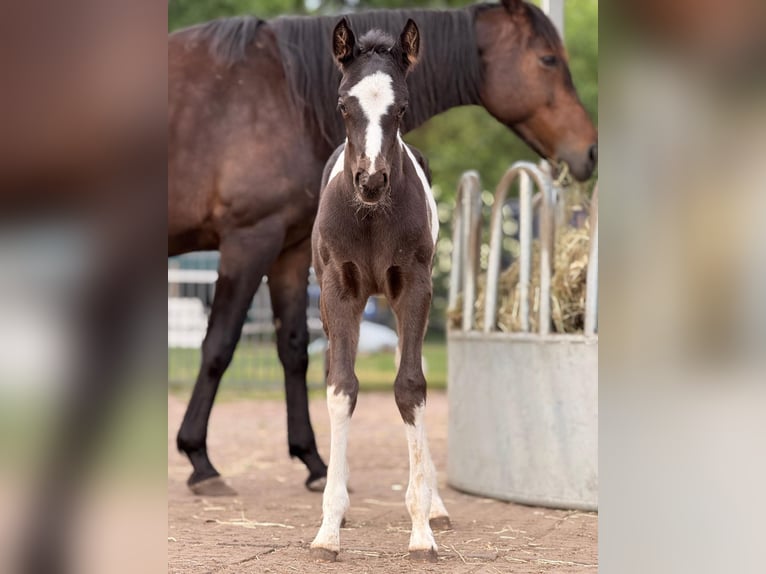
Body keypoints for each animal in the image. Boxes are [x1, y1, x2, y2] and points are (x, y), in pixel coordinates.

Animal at [168, 0, 598, 496]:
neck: (287, 94)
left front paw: (312, 461)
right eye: (548, 60)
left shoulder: (288, 248)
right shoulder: (249, 237)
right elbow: (219, 345)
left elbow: (295, 349)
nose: (589, 151)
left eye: (404, 106)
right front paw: (200, 460)